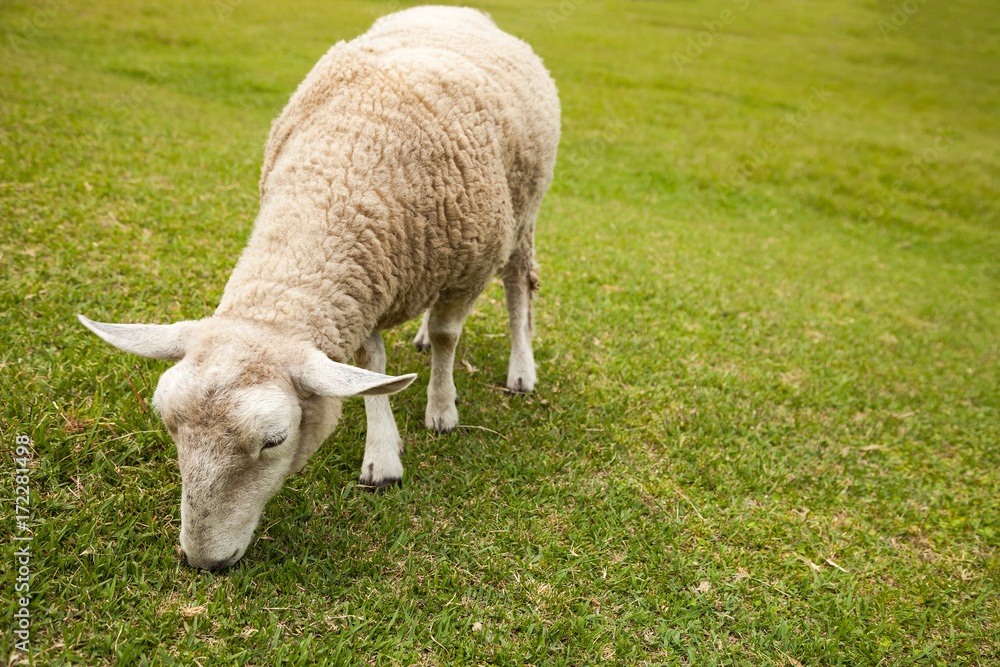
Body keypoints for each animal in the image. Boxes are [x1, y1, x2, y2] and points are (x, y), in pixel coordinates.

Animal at [78, 5, 560, 571]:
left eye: (275, 440)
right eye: (169, 424)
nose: (203, 562)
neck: (343, 170)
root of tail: (456, 10)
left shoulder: (469, 266)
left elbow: (448, 336)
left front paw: (440, 410)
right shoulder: (367, 288)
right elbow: (372, 366)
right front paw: (383, 448)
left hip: (523, 215)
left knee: (518, 286)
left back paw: (520, 369)